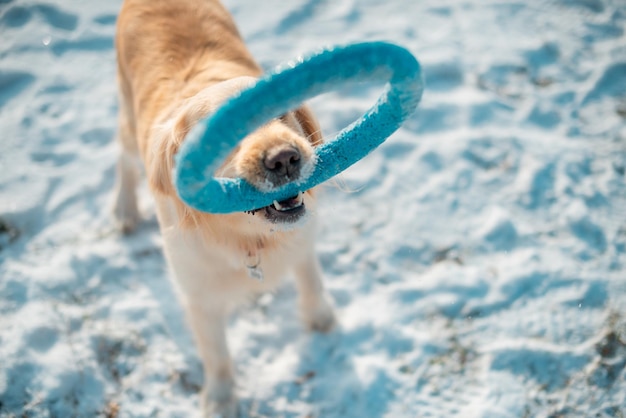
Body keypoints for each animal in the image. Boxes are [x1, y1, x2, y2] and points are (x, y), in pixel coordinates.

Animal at [112, 1, 336, 416]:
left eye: (281, 113)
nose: (285, 159)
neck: (249, 238)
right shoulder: (199, 296)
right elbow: (216, 355)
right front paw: (219, 399)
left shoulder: (302, 239)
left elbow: (310, 277)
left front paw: (321, 317)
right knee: (122, 157)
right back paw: (124, 210)